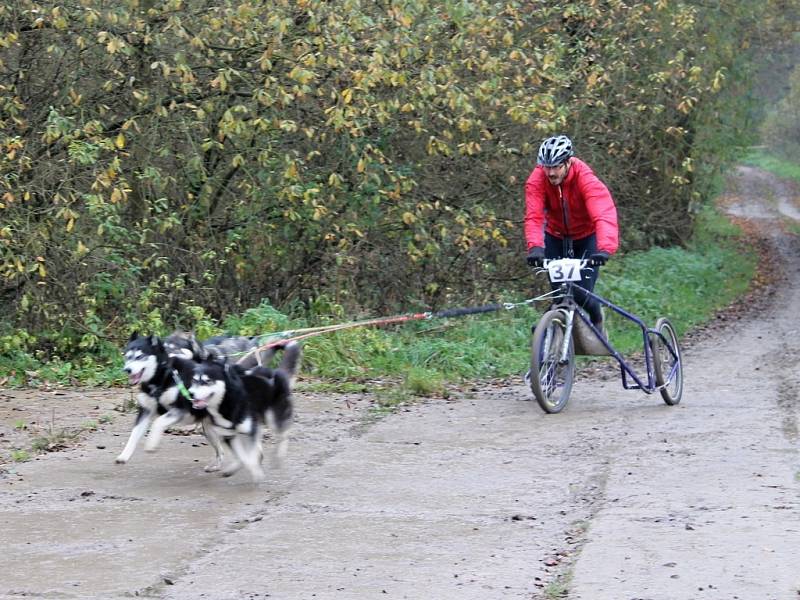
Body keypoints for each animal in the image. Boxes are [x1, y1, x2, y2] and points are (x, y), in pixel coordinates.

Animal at [114, 330, 225, 472]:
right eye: (127, 356)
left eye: (139, 357)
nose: (127, 370)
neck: (162, 376)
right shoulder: (146, 411)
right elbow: (134, 434)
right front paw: (124, 455)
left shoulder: (180, 410)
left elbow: (158, 422)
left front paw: (151, 444)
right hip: (209, 429)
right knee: (220, 450)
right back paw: (216, 466)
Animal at [189, 340, 302, 480]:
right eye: (194, 380)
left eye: (207, 381)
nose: (190, 393)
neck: (226, 402)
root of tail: (276, 372)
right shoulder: (230, 435)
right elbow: (243, 457)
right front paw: (234, 469)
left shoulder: (249, 431)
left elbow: (249, 456)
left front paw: (256, 472)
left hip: (272, 418)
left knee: (283, 434)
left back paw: (278, 456)